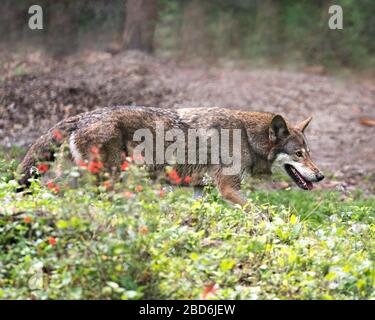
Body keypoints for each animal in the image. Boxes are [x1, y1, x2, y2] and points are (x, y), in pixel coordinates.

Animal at [16, 106, 324, 209]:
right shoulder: (228, 189)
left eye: (309, 154)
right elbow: (263, 213)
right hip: (108, 181)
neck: (247, 136)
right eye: (298, 154)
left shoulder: (201, 189)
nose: (320, 176)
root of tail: (81, 116)